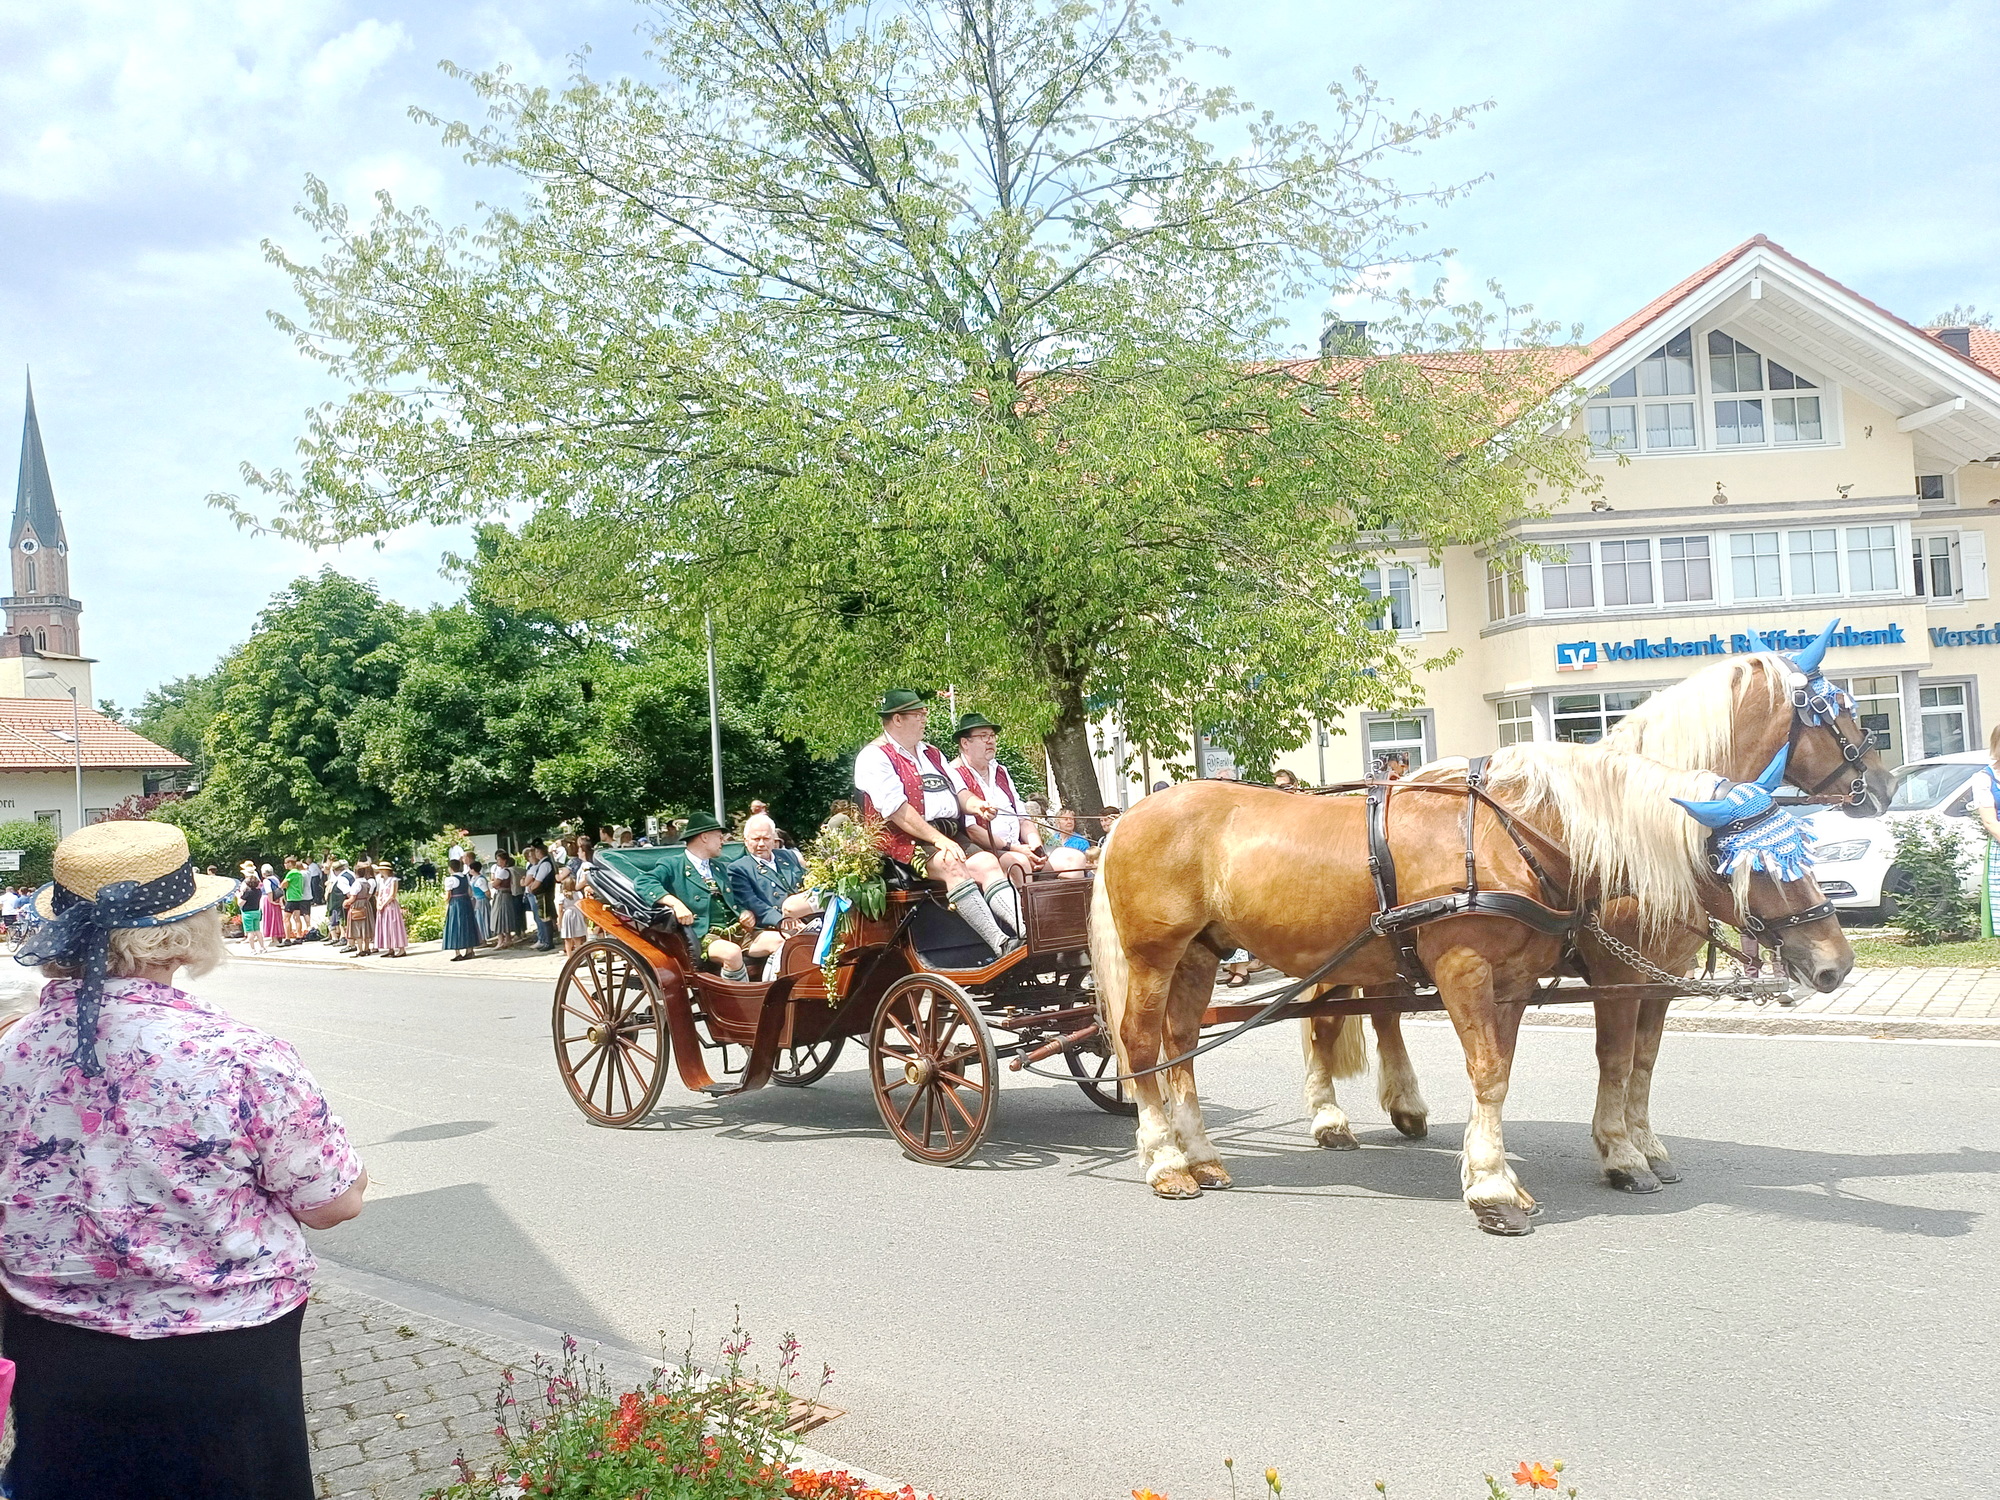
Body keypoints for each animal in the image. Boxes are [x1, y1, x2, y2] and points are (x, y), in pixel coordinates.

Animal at [1088, 742, 1852, 1235]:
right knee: (1141, 1045)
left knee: (1182, 1046)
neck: (1517, 835)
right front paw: (1495, 1188)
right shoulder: (1480, 971)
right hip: (1155, 955)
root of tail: (1127, 817)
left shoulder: (1515, 984)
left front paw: (1508, 1173)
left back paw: (1204, 1155)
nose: (1835, 964)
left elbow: (1515, 1072)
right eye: (1757, 866)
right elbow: (1502, 1072)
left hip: (1202, 955)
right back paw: (1166, 1160)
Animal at [1307, 623, 1894, 1191]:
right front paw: (1620, 1153)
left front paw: (1647, 1145)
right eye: (1841, 708)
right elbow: (1615, 1058)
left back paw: (1403, 1106)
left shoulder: (1662, 977)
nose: (1884, 785)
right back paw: (1329, 1116)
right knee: (1326, 1021)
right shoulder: (1618, 976)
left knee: (1380, 1013)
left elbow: (1644, 1060)